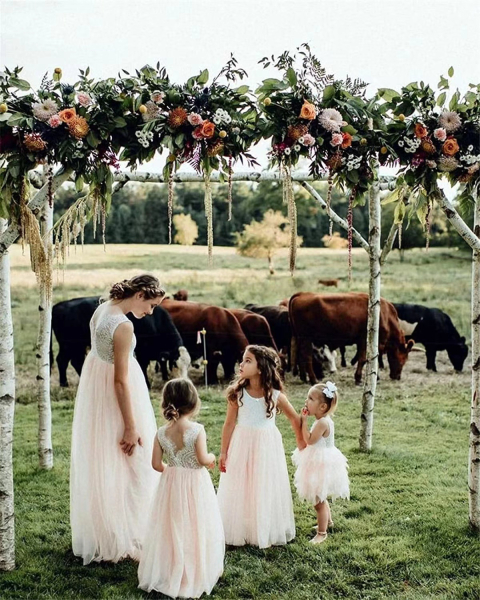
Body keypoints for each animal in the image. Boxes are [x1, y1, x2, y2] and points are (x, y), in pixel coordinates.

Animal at [50, 296, 189, 390]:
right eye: (175, 364)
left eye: (188, 365)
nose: (184, 382)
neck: (155, 320)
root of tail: (58, 306)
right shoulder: (142, 350)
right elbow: (143, 365)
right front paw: (147, 384)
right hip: (70, 345)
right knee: (65, 361)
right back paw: (64, 383)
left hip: (74, 347)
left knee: (70, 361)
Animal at [286, 292, 414, 384]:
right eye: (403, 360)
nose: (397, 376)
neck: (385, 315)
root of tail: (302, 294)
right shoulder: (366, 342)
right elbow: (364, 359)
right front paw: (359, 378)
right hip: (306, 338)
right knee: (307, 357)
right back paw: (313, 379)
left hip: (299, 338)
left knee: (299, 355)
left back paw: (303, 377)